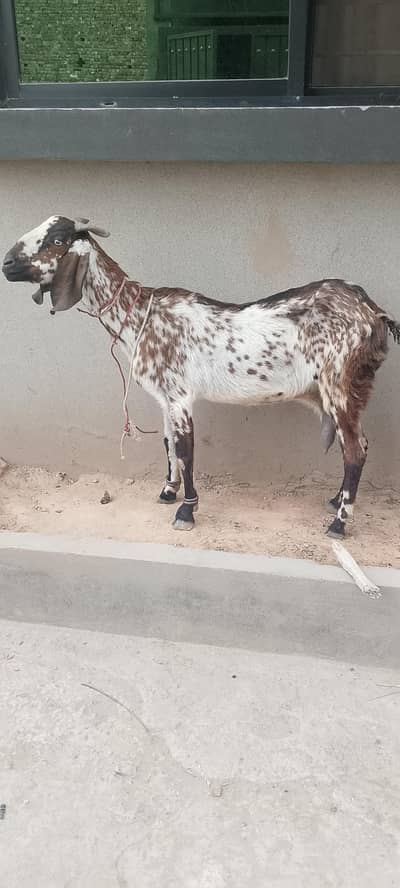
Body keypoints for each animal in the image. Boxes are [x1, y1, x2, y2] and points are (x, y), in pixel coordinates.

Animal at [3, 215, 400, 537]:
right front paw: (167, 492)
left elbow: (185, 450)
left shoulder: (180, 396)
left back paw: (339, 524)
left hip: (340, 386)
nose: (7, 263)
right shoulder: (164, 398)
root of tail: (373, 312)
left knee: (355, 451)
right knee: (359, 445)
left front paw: (186, 511)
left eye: (57, 240)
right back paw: (336, 500)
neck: (141, 316)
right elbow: (167, 444)